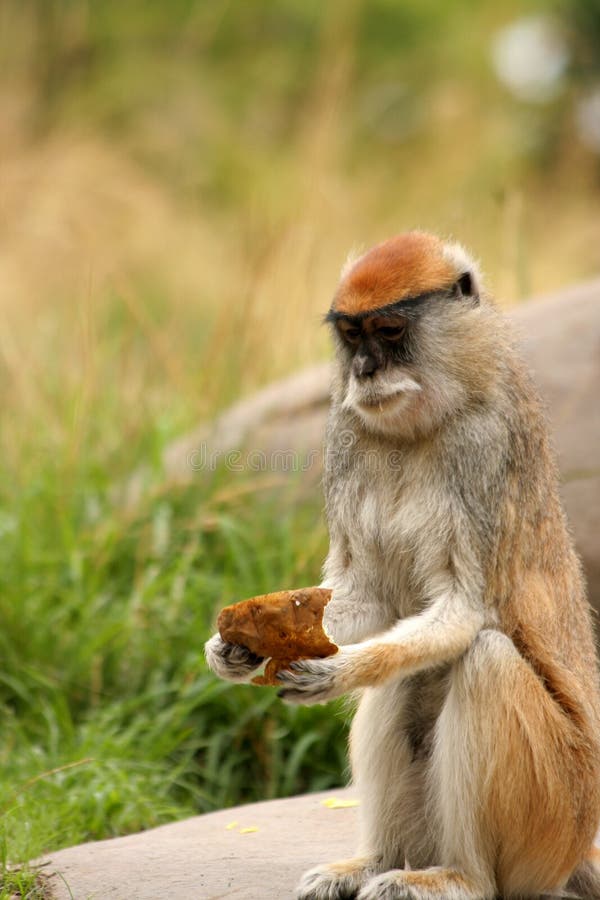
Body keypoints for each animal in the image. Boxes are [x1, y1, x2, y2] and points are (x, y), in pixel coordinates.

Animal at [205, 234, 600, 900]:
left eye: (389, 331)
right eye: (352, 334)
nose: (364, 371)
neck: (425, 423)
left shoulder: (483, 449)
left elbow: (463, 613)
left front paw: (335, 673)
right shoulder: (346, 433)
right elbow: (364, 598)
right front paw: (233, 648)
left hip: (553, 815)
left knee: (486, 661)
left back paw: (459, 877)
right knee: (405, 681)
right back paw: (375, 862)